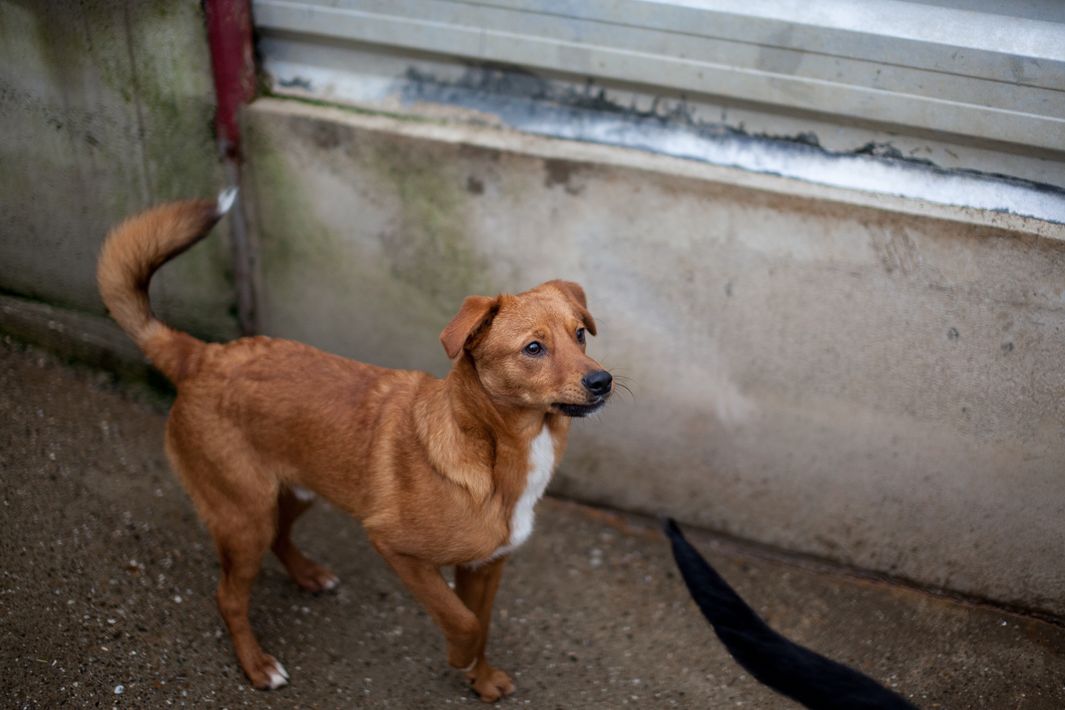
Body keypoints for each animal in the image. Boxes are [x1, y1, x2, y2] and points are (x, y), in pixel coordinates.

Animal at [97, 189, 612, 701]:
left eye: (580, 335)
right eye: (533, 348)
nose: (603, 381)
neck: (487, 444)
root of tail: (202, 355)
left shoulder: (485, 566)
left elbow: (481, 623)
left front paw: (480, 679)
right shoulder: (396, 548)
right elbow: (462, 621)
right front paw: (460, 660)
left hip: (296, 490)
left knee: (281, 536)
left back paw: (308, 575)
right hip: (244, 517)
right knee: (228, 597)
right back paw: (257, 665)